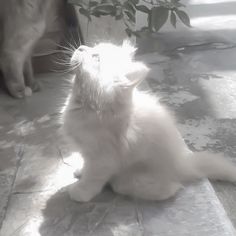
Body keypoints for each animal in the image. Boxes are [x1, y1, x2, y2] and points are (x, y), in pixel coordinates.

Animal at [62, 41, 236, 202]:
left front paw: (80, 192)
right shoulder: (87, 151)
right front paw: (81, 171)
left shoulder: (103, 157)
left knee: (169, 189)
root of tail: (185, 163)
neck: (89, 106)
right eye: (92, 48)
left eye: (96, 57)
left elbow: (92, 178)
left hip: (130, 180)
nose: (81, 47)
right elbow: (86, 165)